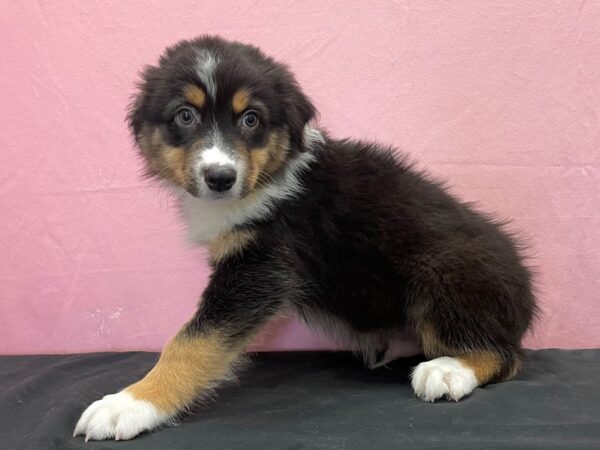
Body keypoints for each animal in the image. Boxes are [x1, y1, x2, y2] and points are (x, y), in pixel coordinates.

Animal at [72, 34, 536, 440]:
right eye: (185, 115)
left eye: (251, 118)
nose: (220, 177)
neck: (266, 179)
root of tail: (527, 293)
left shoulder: (260, 267)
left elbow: (191, 340)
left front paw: (129, 404)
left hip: (443, 268)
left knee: (506, 355)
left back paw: (448, 370)